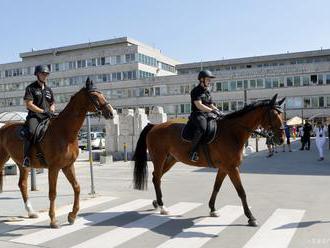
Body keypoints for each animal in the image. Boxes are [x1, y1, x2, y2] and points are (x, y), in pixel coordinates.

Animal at [0, 79, 113, 229]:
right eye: (94, 96)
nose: (111, 112)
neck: (65, 132)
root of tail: (4, 127)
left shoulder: (68, 166)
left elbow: (77, 187)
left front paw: (72, 216)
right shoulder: (54, 168)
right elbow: (53, 193)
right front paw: (53, 220)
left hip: (22, 164)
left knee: (22, 184)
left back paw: (31, 212)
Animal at [133, 94, 284, 227]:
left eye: (282, 115)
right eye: (274, 115)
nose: (281, 139)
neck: (232, 132)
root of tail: (154, 126)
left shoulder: (224, 168)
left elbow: (216, 187)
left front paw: (212, 209)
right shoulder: (232, 168)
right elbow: (241, 192)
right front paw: (250, 217)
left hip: (171, 160)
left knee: (156, 177)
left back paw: (157, 203)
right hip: (159, 158)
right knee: (157, 177)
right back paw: (162, 207)